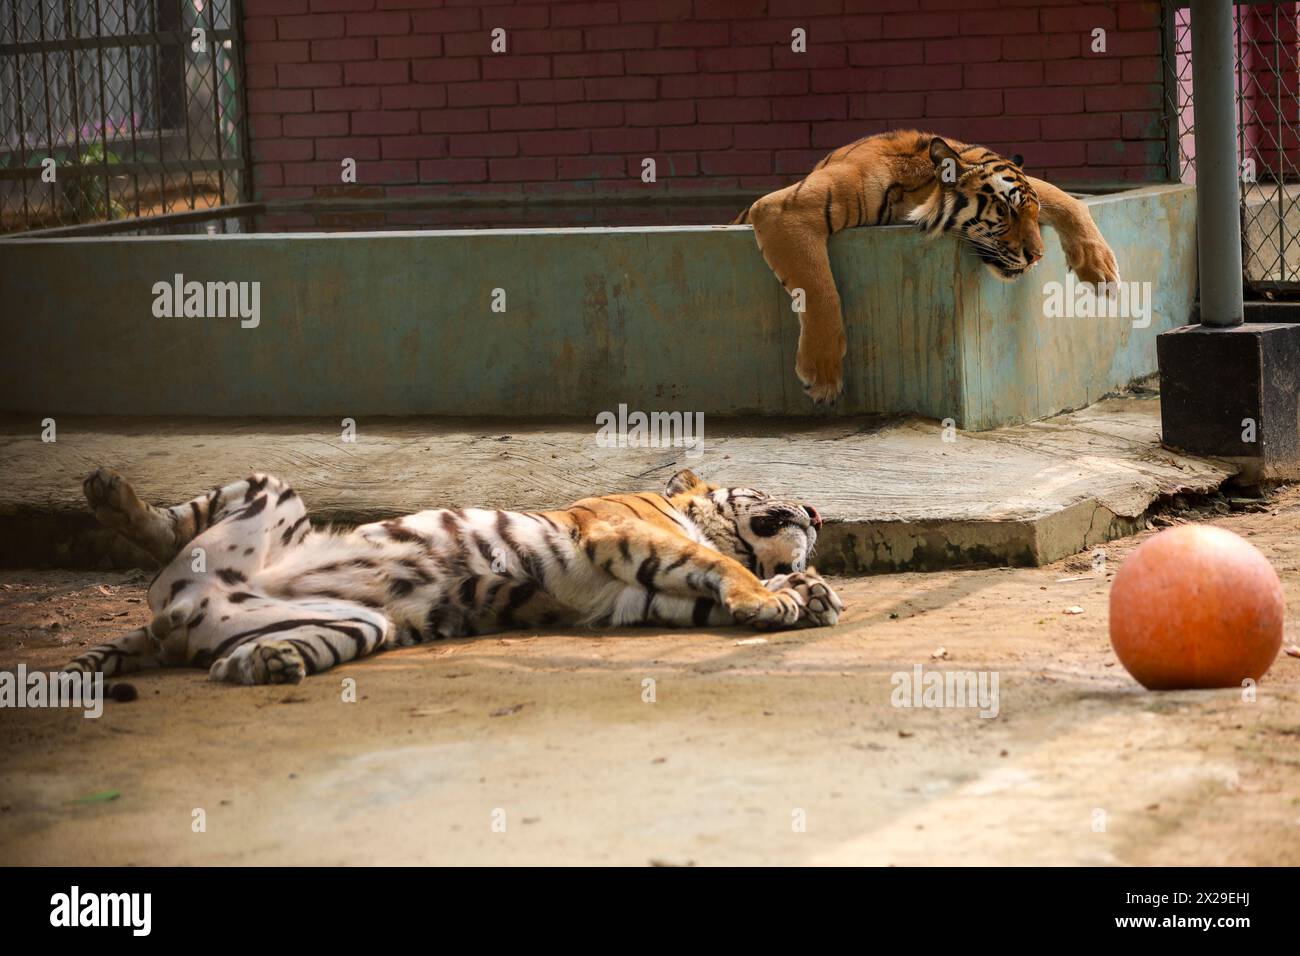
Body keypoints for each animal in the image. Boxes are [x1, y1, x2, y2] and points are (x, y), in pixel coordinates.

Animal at [63, 468, 842, 686]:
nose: (817, 511)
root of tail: (168, 622)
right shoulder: (623, 536)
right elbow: (716, 565)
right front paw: (780, 598)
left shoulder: (633, 593)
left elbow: (701, 589)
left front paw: (809, 593)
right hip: (269, 494)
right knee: (172, 525)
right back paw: (111, 496)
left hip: (358, 623)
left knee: (233, 650)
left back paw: (266, 662)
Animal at [738, 130, 1123, 403]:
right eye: (1005, 211)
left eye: (1032, 212)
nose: (1038, 256)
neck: (916, 189)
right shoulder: (786, 209)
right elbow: (819, 288)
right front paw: (822, 375)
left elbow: (1068, 199)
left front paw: (1102, 271)